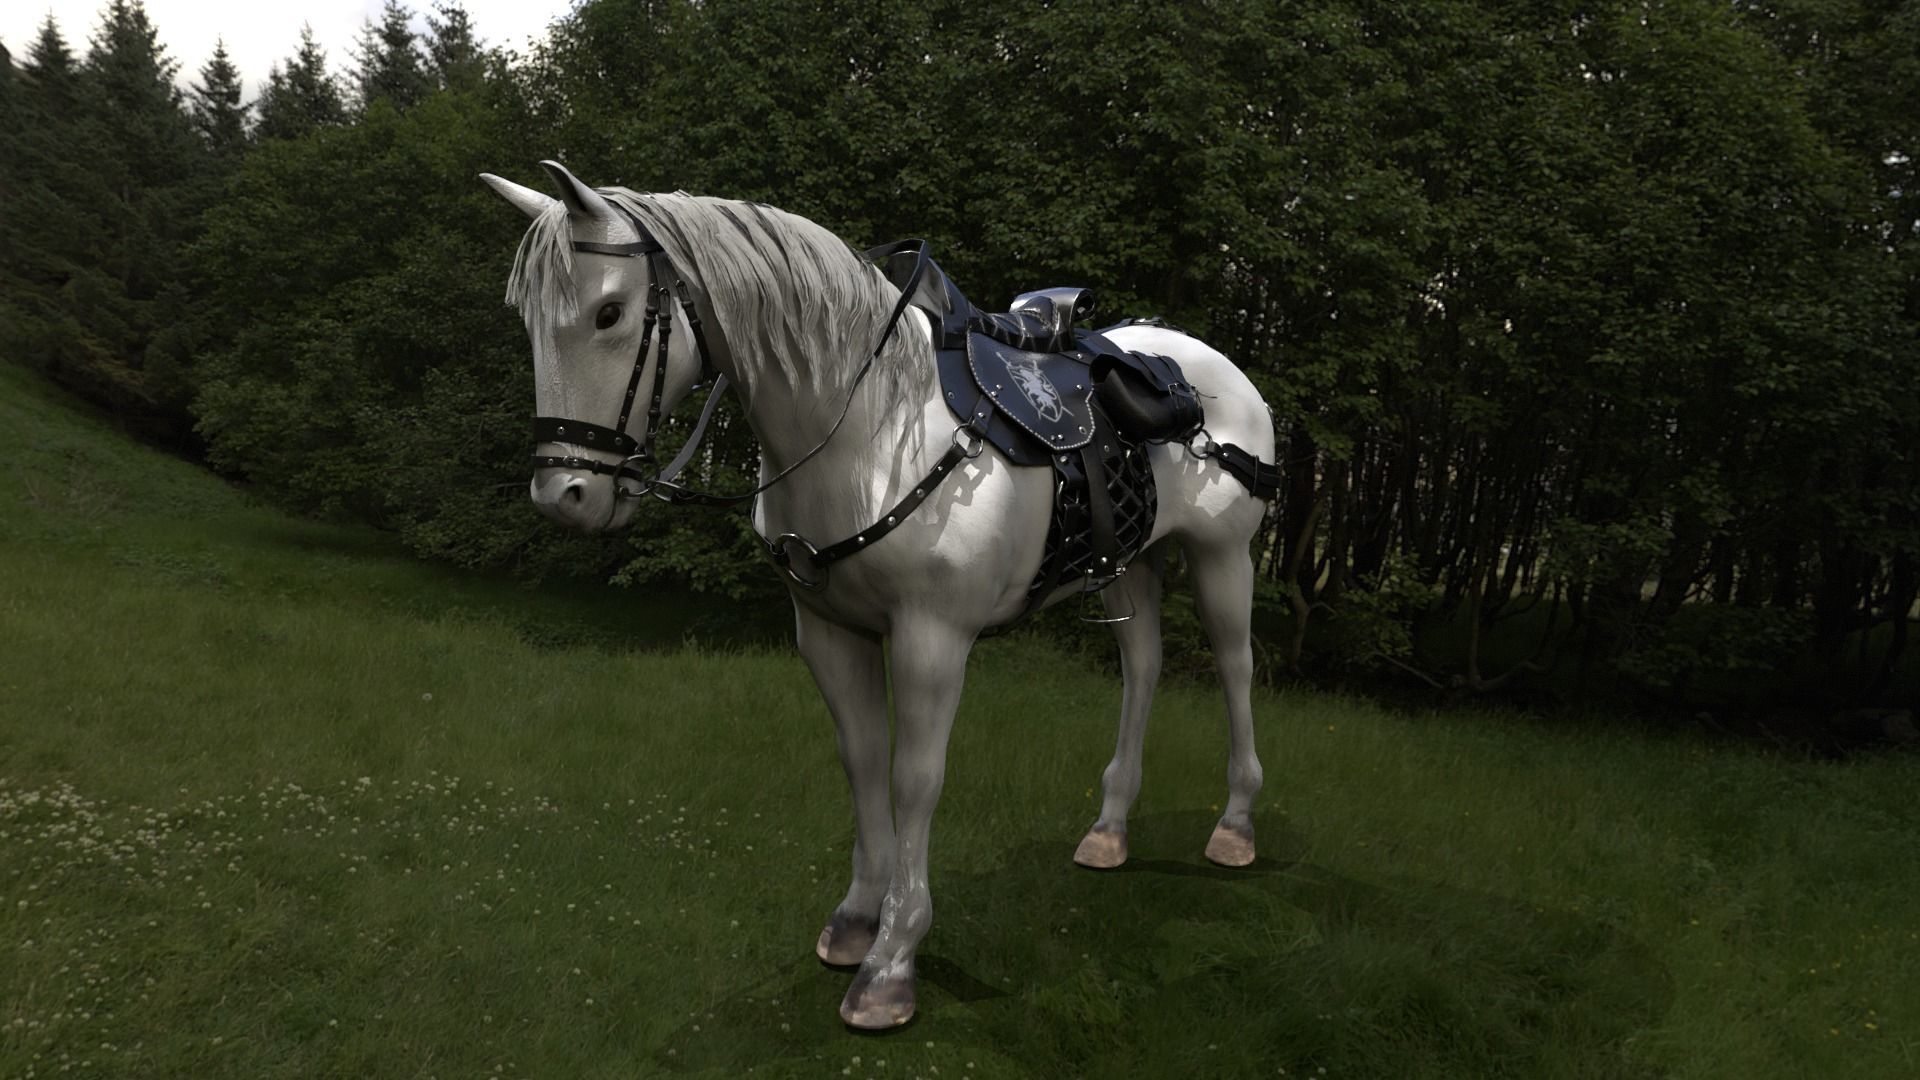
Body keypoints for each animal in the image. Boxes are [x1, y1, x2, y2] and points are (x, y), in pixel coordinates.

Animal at [481, 160, 1278, 1029]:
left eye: (610, 312)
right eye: (524, 319)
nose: (565, 495)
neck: (869, 425)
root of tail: (1213, 370)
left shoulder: (934, 638)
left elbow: (913, 777)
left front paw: (893, 960)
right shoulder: (830, 631)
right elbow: (861, 759)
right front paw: (858, 920)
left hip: (1223, 558)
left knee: (1236, 669)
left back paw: (1236, 825)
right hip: (1130, 559)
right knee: (1143, 668)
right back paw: (1110, 828)